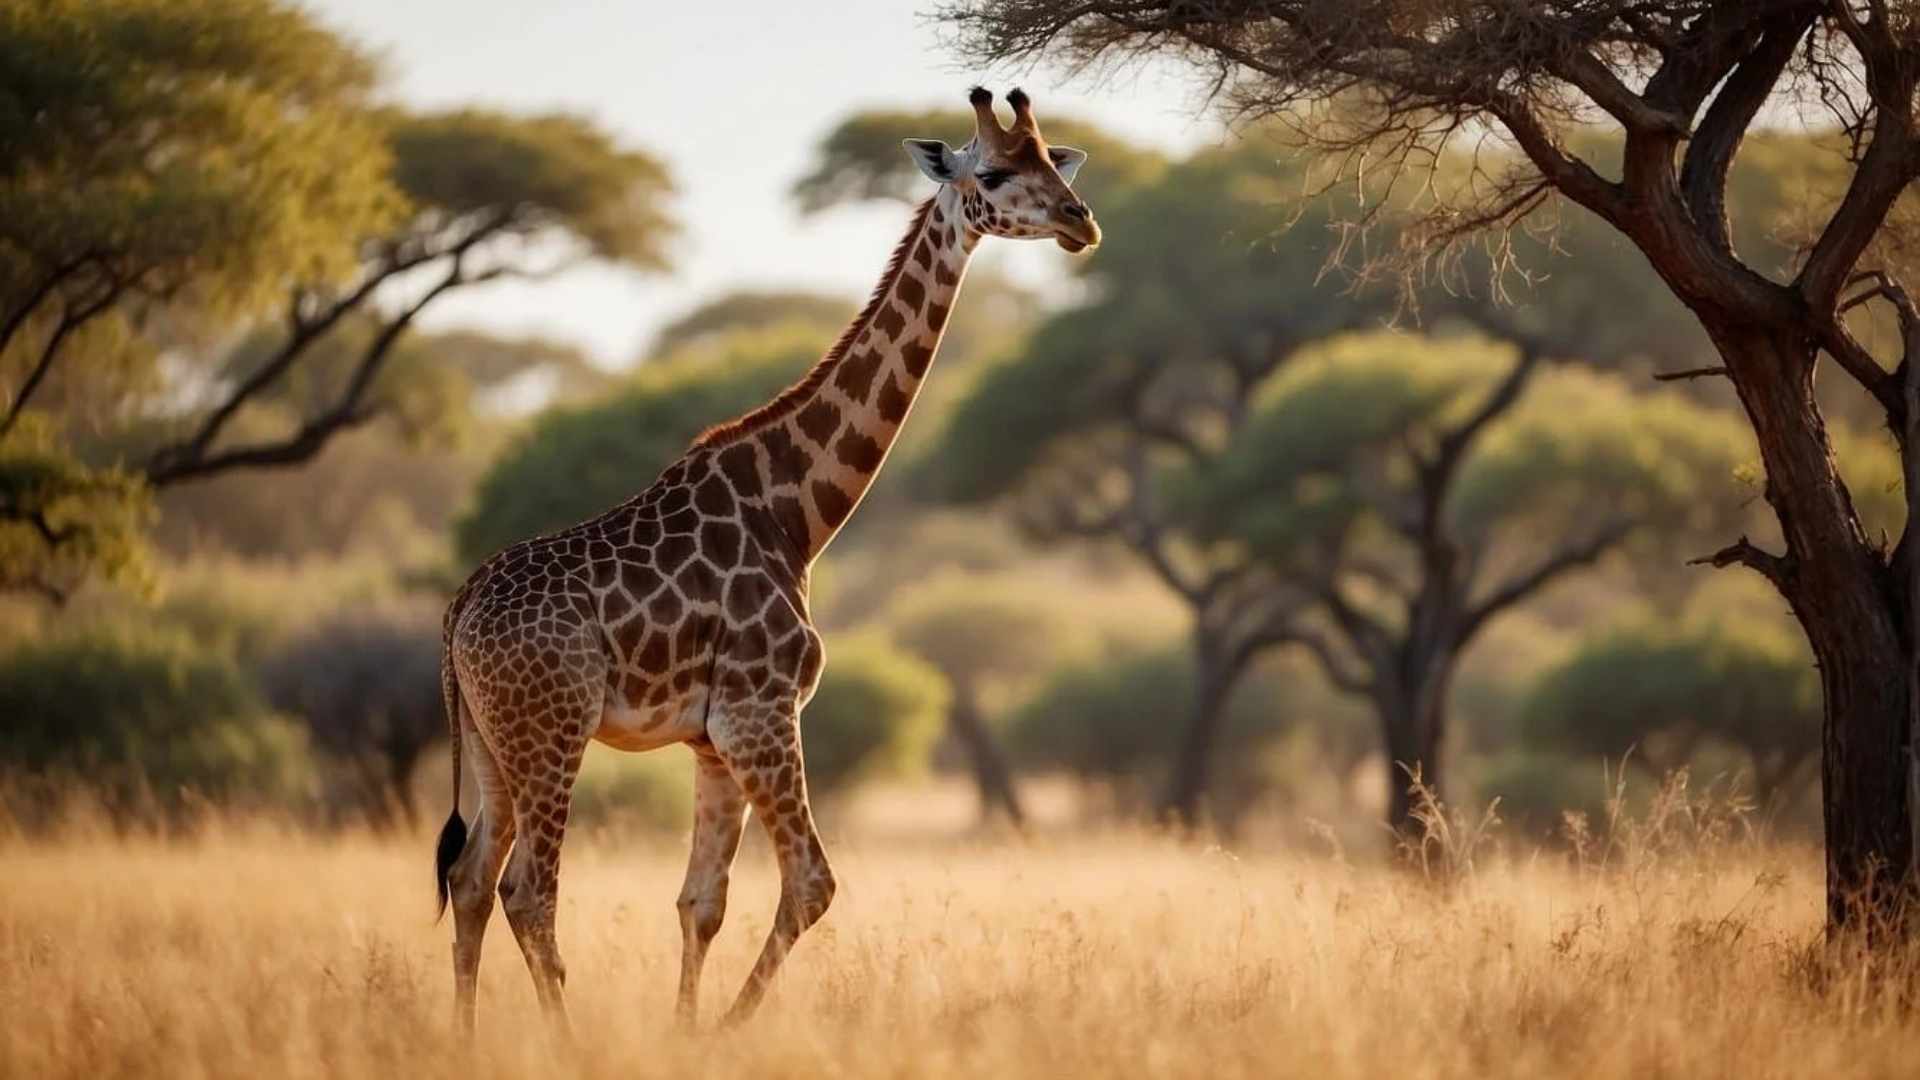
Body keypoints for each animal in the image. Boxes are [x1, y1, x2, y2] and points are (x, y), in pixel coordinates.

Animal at [433, 86, 1099, 1033]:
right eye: (999, 173)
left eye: (1053, 160)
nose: (1082, 222)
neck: (798, 513)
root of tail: (456, 614)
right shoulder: (763, 711)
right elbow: (812, 884)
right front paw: (719, 1033)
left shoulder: (712, 738)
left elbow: (699, 903)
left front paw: (685, 1033)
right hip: (551, 732)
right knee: (528, 890)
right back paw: (561, 1042)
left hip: (493, 742)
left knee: (470, 879)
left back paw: (463, 1040)